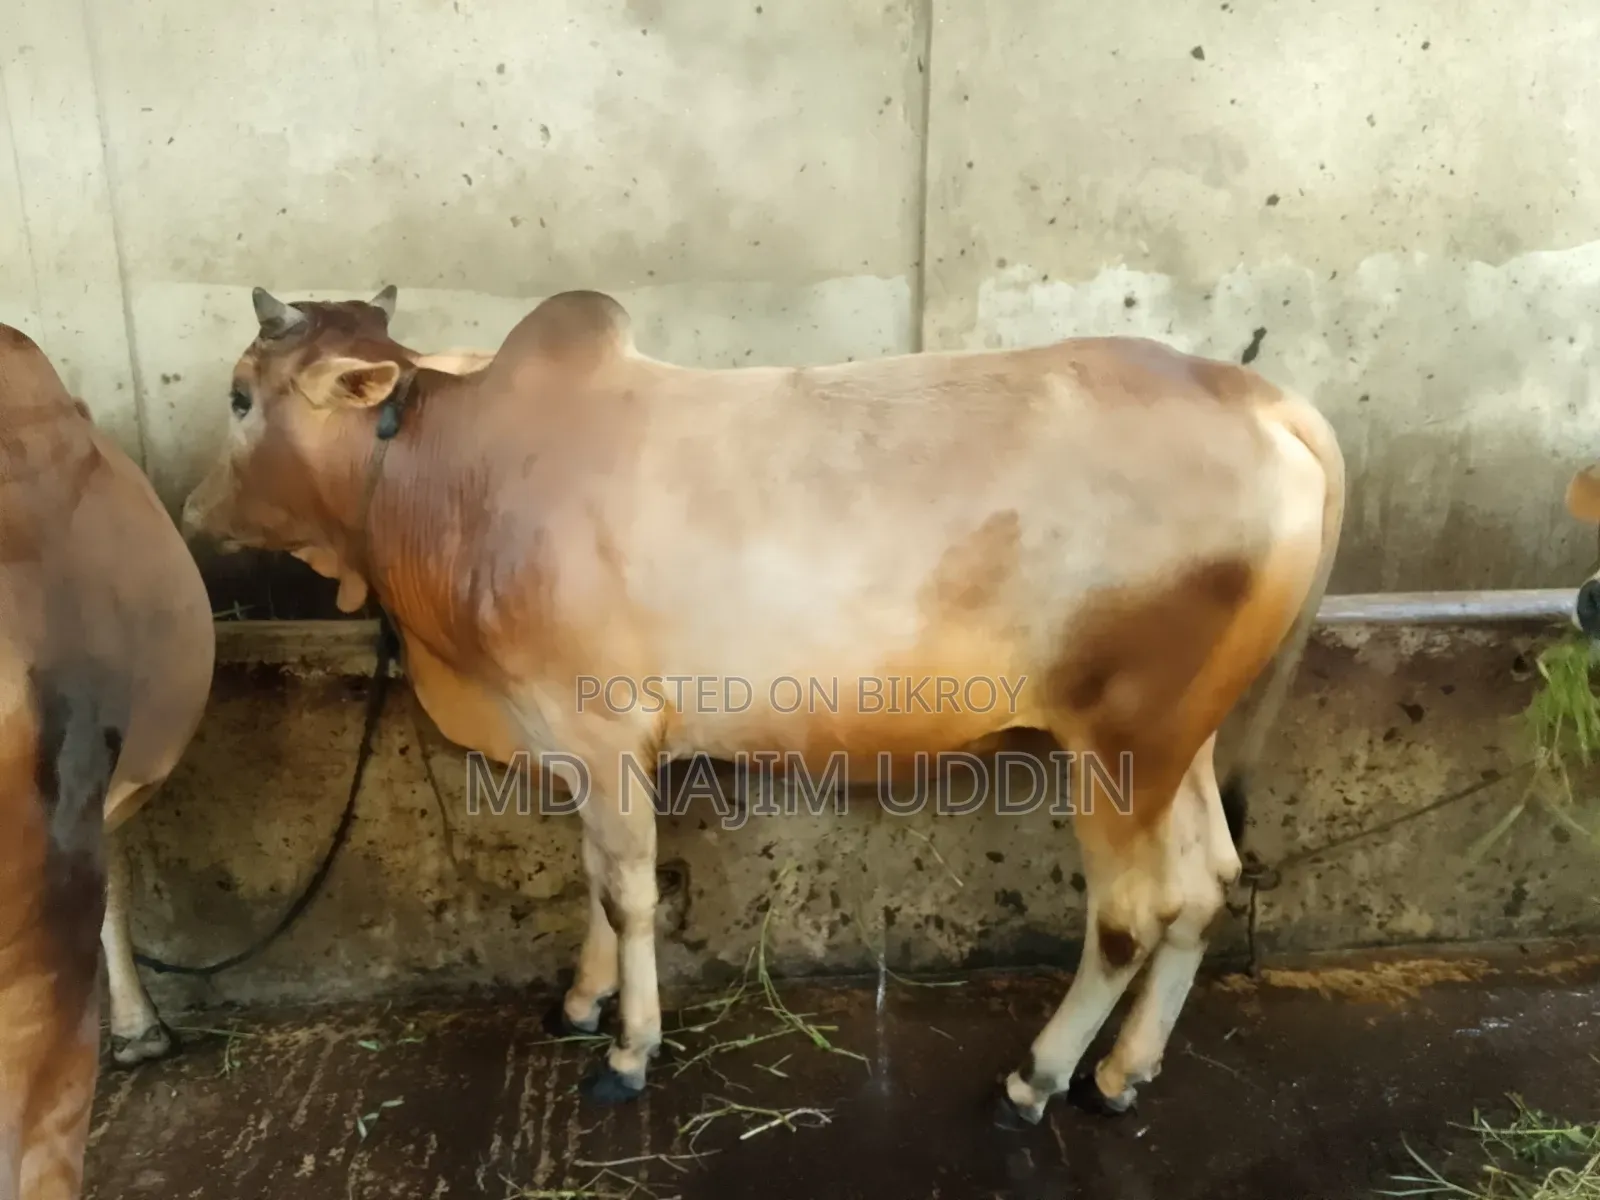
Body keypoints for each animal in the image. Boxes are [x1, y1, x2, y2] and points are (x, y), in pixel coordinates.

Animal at [182, 285, 1345, 1126]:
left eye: (240, 395)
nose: (191, 506)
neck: (455, 478)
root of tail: (1262, 401)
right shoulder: (580, 750)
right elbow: (597, 877)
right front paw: (582, 1002)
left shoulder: (600, 734)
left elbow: (628, 892)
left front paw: (629, 1051)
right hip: (1177, 740)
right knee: (1208, 882)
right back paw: (1122, 1072)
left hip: (1116, 745)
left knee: (1132, 912)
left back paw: (1040, 1078)